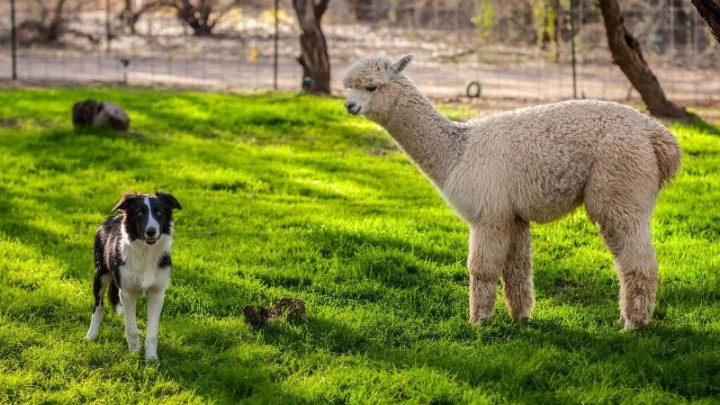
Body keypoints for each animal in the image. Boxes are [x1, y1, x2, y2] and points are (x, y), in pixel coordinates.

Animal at [84, 190, 181, 360]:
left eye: (159, 212)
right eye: (140, 213)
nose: (151, 231)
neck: (146, 251)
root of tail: (111, 218)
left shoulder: (157, 294)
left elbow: (152, 332)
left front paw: (151, 358)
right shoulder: (127, 293)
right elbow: (131, 329)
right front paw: (134, 354)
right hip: (100, 275)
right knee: (98, 307)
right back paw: (91, 335)